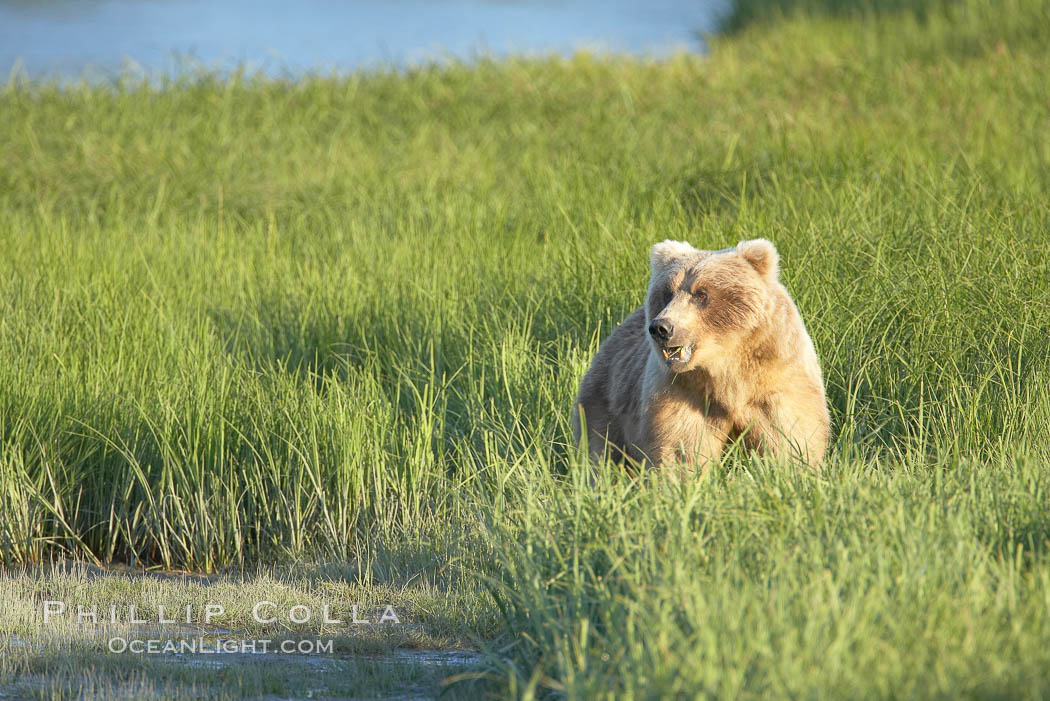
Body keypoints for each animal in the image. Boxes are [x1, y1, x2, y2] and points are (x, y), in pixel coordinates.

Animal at [575, 238, 827, 474]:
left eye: (701, 294)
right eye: (667, 293)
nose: (661, 327)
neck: (726, 369)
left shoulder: (775, 380)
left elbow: (789, 435)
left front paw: (794, 467)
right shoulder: (683, 391)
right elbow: (681, 446)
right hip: (604, 402)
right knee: (599, 453)